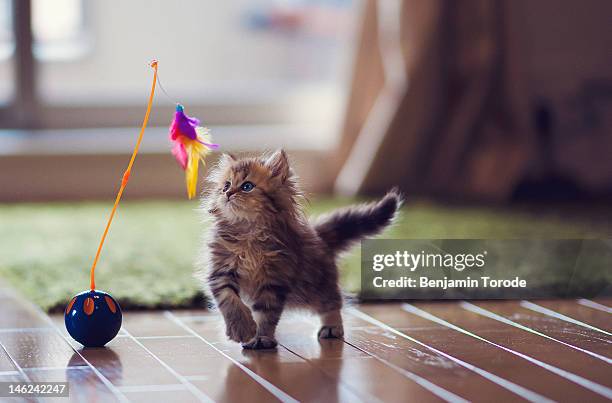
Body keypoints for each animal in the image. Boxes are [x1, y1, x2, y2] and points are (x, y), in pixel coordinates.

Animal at [198, 150, 402, 348]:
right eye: (225, 186)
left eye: (247, 186)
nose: (227, 194)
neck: (248, 234)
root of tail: (318, 234)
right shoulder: (220, 271)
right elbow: (229, 300)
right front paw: (242, 329)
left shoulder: (275, 280)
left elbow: (266, 314)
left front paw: (261, 337)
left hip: (315, 286)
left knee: (332, 302)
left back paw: (331, 327)